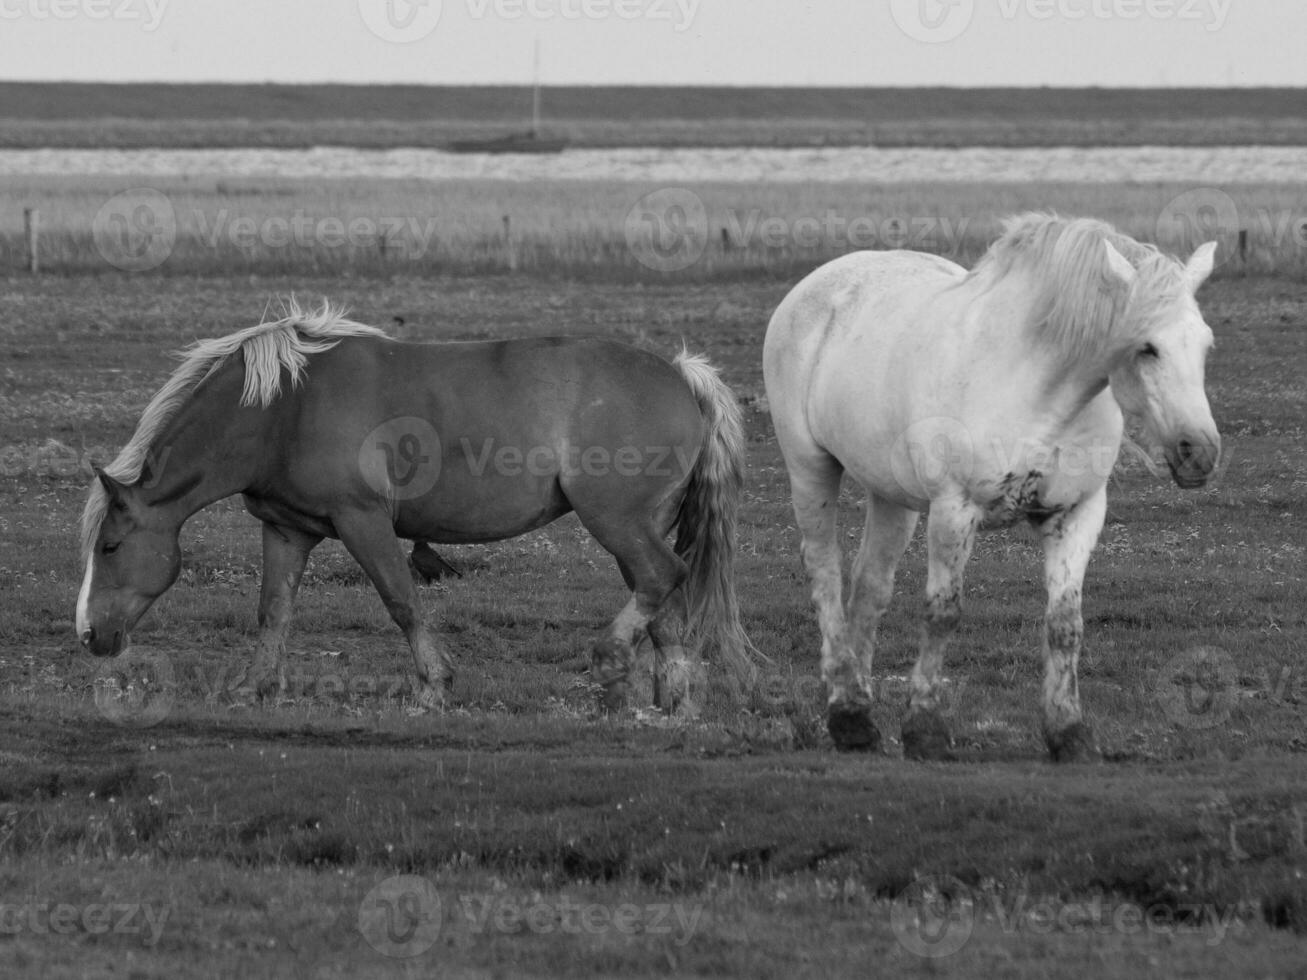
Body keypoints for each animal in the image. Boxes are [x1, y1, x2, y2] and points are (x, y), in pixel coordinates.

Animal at [76, 301, 763, 716]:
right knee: (666, 605)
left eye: (110, 546)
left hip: (618, 523)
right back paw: (671, 697)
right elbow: (273, 612)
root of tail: (680, 374)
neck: (283, 407)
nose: (88, 635)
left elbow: (402, 601)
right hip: (641, 527)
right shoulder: (287, 530)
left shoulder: (362, 521)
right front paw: (254, 686)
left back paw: (612, 663)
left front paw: (434, 685)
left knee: (661, 578)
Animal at [763, 214, 1218, 763]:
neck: (1038, 391)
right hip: (810, 469)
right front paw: (925, 728)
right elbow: (943, 614)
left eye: (1206, 344)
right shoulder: (954, 509)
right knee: (826, 577)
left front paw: (1069, 732)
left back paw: (858, 715)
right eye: (1148, 348)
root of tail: (816, 284)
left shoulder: (1077, 514)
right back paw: (843, 712)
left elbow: (1065, 625)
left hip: (891, 496)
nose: (1200, 452)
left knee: (869, 587)